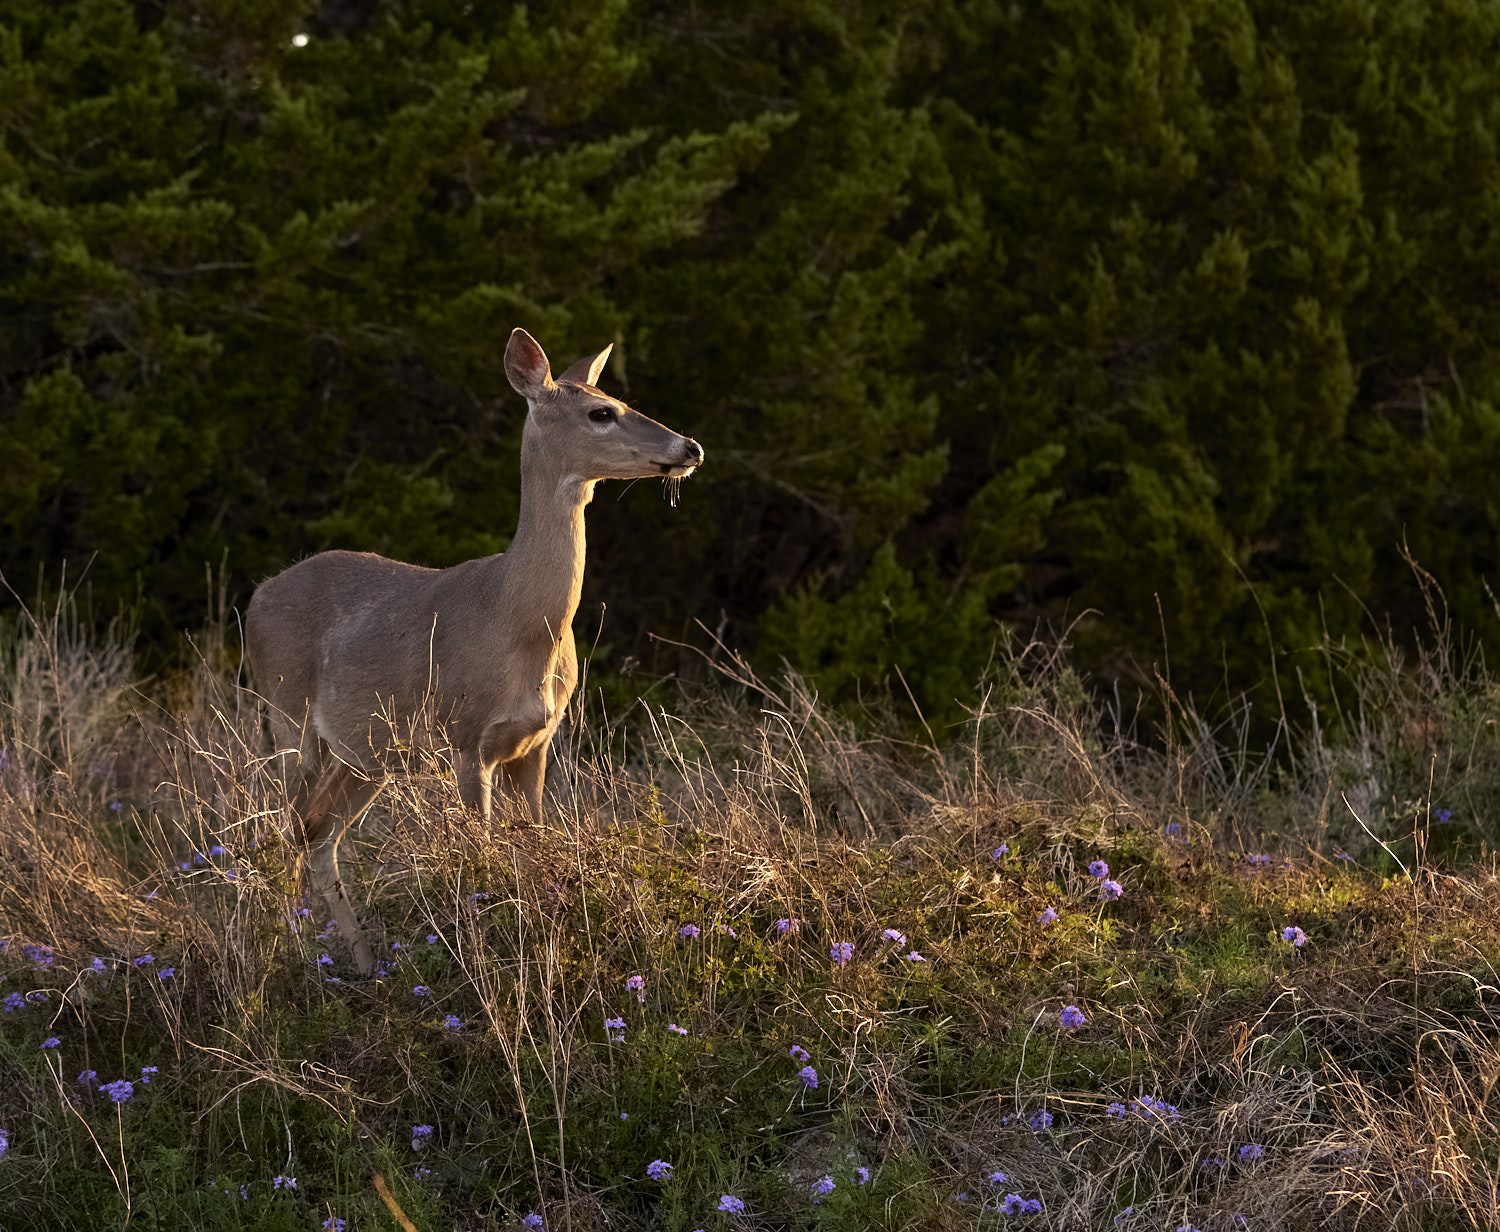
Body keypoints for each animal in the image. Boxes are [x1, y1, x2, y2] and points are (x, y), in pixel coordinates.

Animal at [244, 327, 702, 972]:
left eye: (617, 397)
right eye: (601, 412)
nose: (691, 447)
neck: (518, 622)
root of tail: (257, 595)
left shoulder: (536, 742)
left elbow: (538, 842)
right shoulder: (467, 739)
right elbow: (480, 858)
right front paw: (483, 953)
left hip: (367, 753)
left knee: (318, 830)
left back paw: (362, 962)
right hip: (287, 716)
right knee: (290, 825)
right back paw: (289, 948)